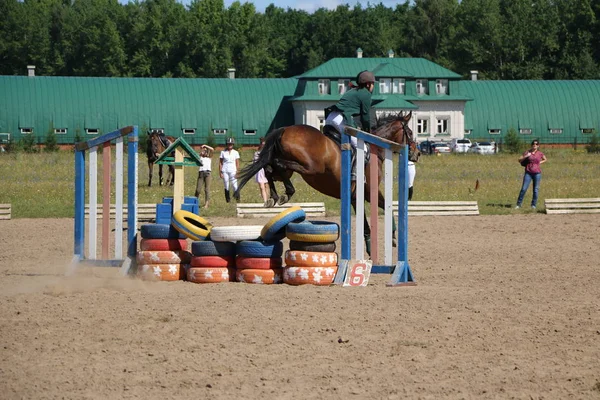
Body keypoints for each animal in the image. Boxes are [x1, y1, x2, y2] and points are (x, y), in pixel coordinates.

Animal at [234, 111, 412, 252]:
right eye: (410, 133)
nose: (415, 153)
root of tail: (284, 129)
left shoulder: (354, 196)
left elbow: (366, 225)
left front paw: (370, 247)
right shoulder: (369, 192)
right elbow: (387, 207)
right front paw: (393, 234)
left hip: (288, 167)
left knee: (270, 169)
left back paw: (274, 197)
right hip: (311, 167)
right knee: (277, 165)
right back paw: (287, 192)